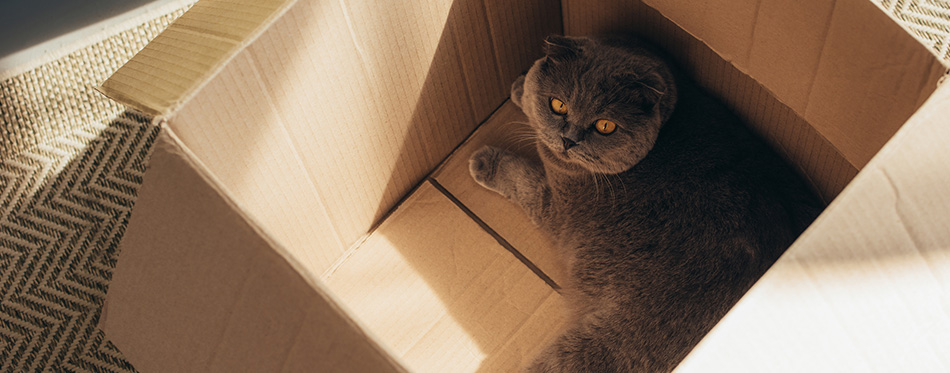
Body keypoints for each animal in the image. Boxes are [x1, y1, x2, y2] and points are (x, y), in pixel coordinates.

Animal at [472, 35, 820, 372]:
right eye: (558, 105)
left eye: (605, 126)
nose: (569, 140)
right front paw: (521, 88)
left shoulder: (556, 207)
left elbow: (523, 179)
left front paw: (485, 161)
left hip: (606, 345)